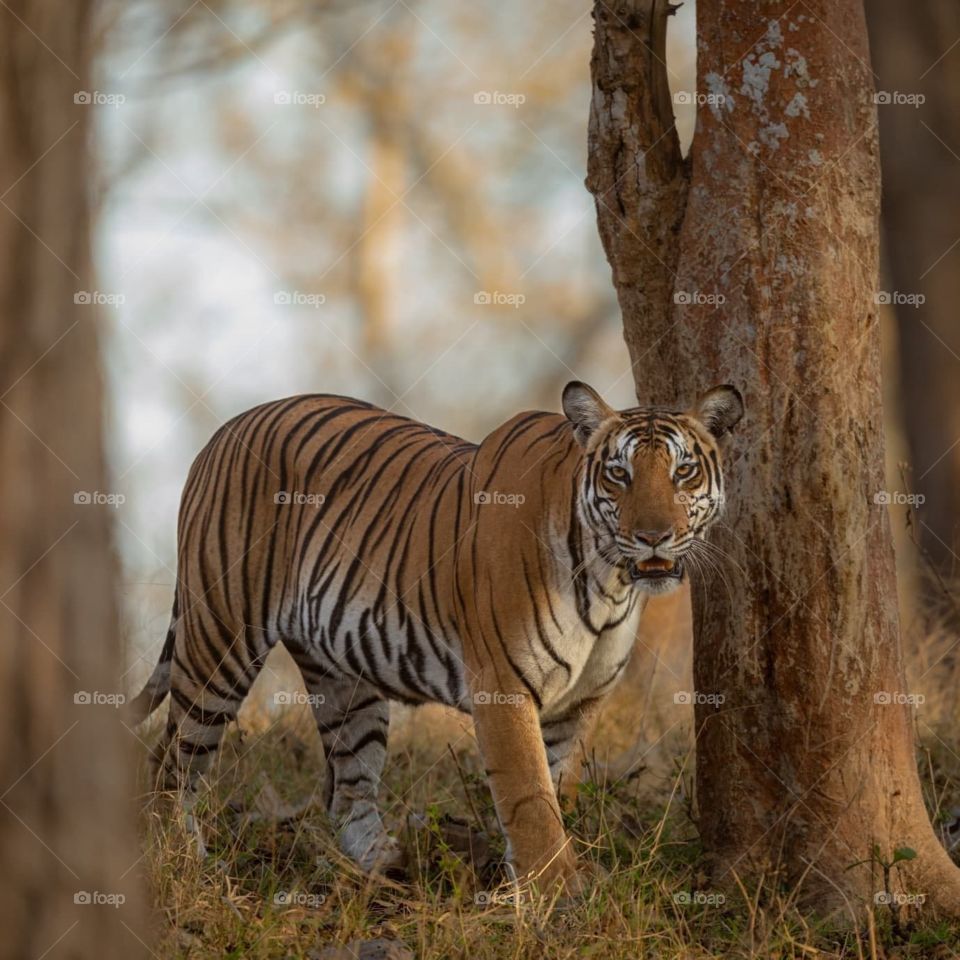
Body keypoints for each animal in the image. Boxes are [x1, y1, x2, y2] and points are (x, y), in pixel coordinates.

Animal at [131, 380, 742, 894]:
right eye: (619, 475)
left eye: (684, 473)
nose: (653, 536)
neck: (609, 582)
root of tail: (226, 429)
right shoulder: (503, 686)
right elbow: (528, 795)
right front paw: (557, 891)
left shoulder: (579, 702)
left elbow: (555, 785)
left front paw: (532, 879)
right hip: (220, 639)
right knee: (171, 759)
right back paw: (182, 861)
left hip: (344, 681)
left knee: (348, 787)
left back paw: (384, 866)